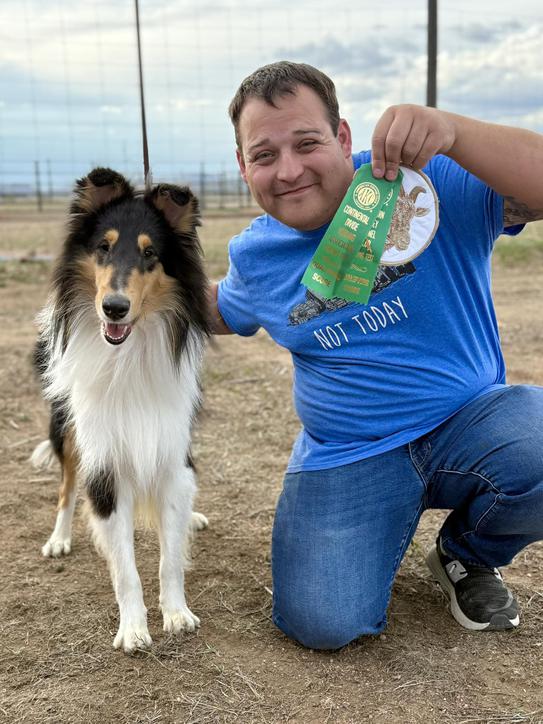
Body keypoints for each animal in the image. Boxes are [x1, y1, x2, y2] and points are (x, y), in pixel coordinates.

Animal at [31, 168, 211, 653]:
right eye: (103, 247)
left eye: (150, 254)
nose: (114, 308)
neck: (129, 356)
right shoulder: (106, 465)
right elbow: (126, 568)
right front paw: (132, 628)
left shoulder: (171, 452)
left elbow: (170, 557)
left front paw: (176, 613)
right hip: (68, 432)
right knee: (66, 489)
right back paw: (59, 538)